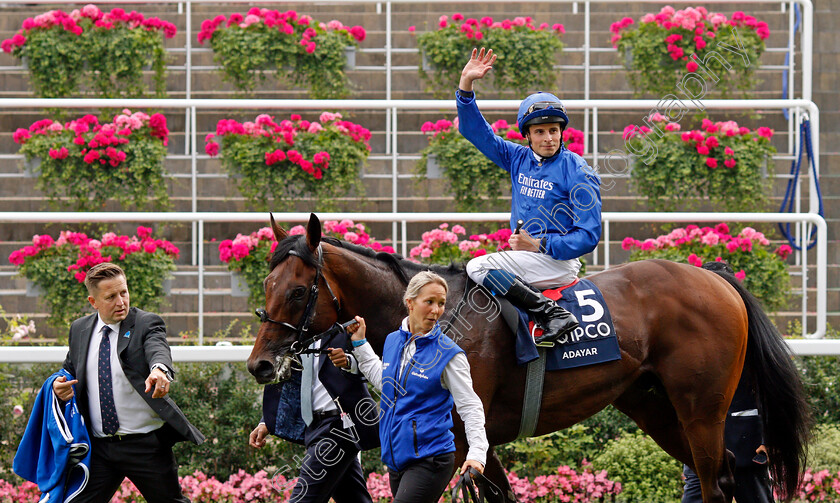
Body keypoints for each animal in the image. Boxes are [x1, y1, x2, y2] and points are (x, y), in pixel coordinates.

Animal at [246, 214, 812, 503]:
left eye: (298, 292)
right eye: (266, 284)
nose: (259, 364)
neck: (439, 317)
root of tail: (716, 277)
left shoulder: (458, 439)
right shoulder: (478, 442)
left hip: (702, 409)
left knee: (716, 482)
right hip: (654, 406)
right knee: (730, 473)